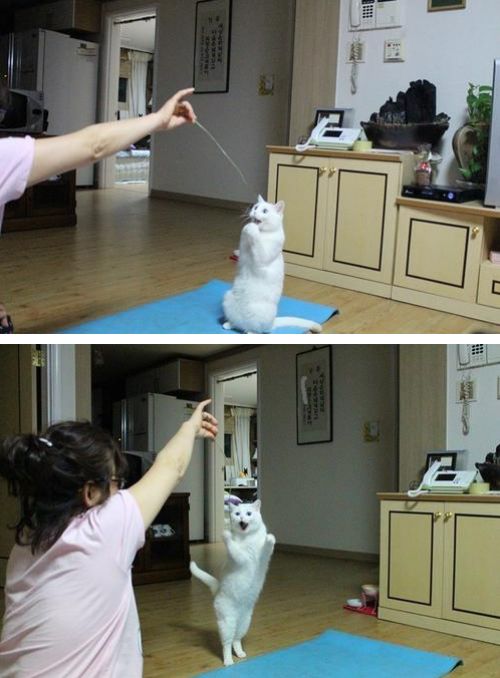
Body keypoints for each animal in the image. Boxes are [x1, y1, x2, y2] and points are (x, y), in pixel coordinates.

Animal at [188, 500, 276, 668]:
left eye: (248, 513)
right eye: (237, 513)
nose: (241, 518)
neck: (247, 538)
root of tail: (218, 590)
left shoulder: (264, 557)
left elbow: (266, 547)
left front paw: (270, 538)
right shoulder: (240, 559)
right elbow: (235, 549)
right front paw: (226, 535)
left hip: (244, 623)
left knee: (236, 640)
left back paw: (240, 654)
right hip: (227, 623)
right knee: (227, 644)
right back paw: (229, 661)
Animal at [222, 197, 322, 334]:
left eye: (265, 211)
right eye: (255, 207)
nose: (254, 212)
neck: (263, 233)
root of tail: (272, 323)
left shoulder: (263, 256)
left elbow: (257, 245)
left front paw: (252, 228)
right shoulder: (243, 251)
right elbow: (242, 243)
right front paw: (247, 227)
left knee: (257, 330)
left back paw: (249, 332)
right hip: (227, 296)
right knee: (238, 324)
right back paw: (229, 324)